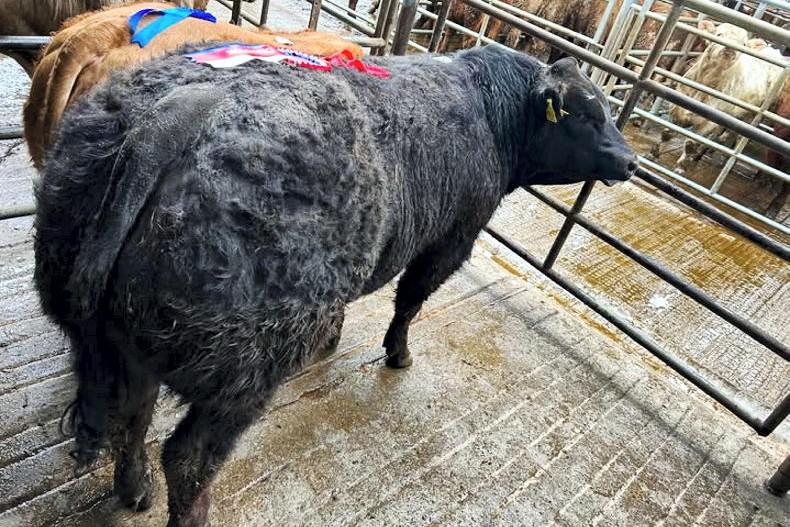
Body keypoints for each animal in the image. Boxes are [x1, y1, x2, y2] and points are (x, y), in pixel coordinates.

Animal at [34, 47, 636, 526]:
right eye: (585, 113)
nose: (630, 160)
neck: (488, 109)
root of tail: (171, 117)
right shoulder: (452, 236)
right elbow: (410, 301)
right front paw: (398, 354)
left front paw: (334, 340)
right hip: (244, 370)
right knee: (187, 461)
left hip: (121, 338)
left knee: (132, 417)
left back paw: (135, 491)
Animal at [665, 21, 785, 174]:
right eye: (719, 34)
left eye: (743, 44)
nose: (730, 49)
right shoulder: (675, 105)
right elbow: (667, 132)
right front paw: (654, 153)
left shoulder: (708, 122)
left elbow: (690, 143)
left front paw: (681, 167)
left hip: (752, 116)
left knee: (738, 137)